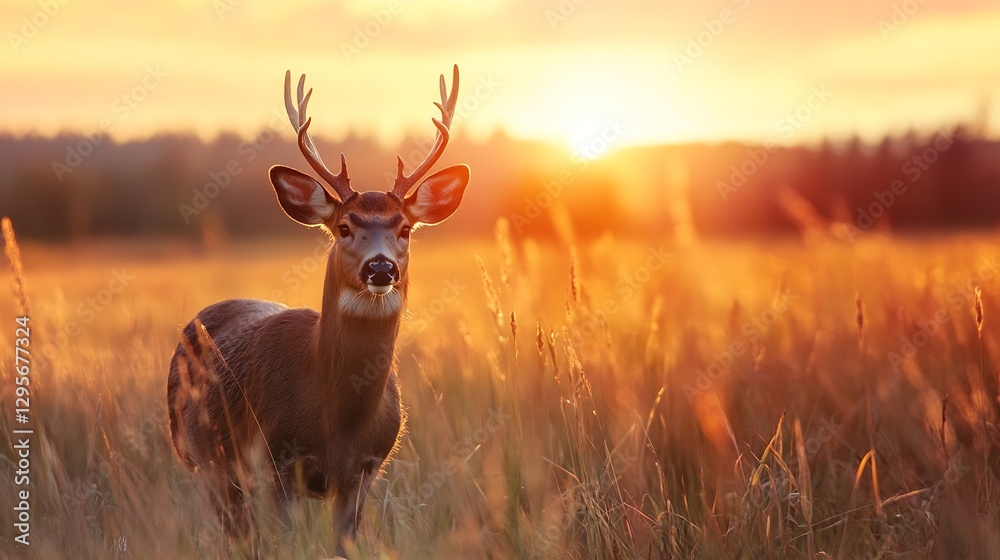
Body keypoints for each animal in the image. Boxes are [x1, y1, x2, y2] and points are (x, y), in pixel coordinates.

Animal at [166, 65, 469, 556]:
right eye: (344, 226)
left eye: (405, 227)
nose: (380, 267)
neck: (338, 416)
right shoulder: (278, 460)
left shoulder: (364, 470)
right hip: (203, 463)